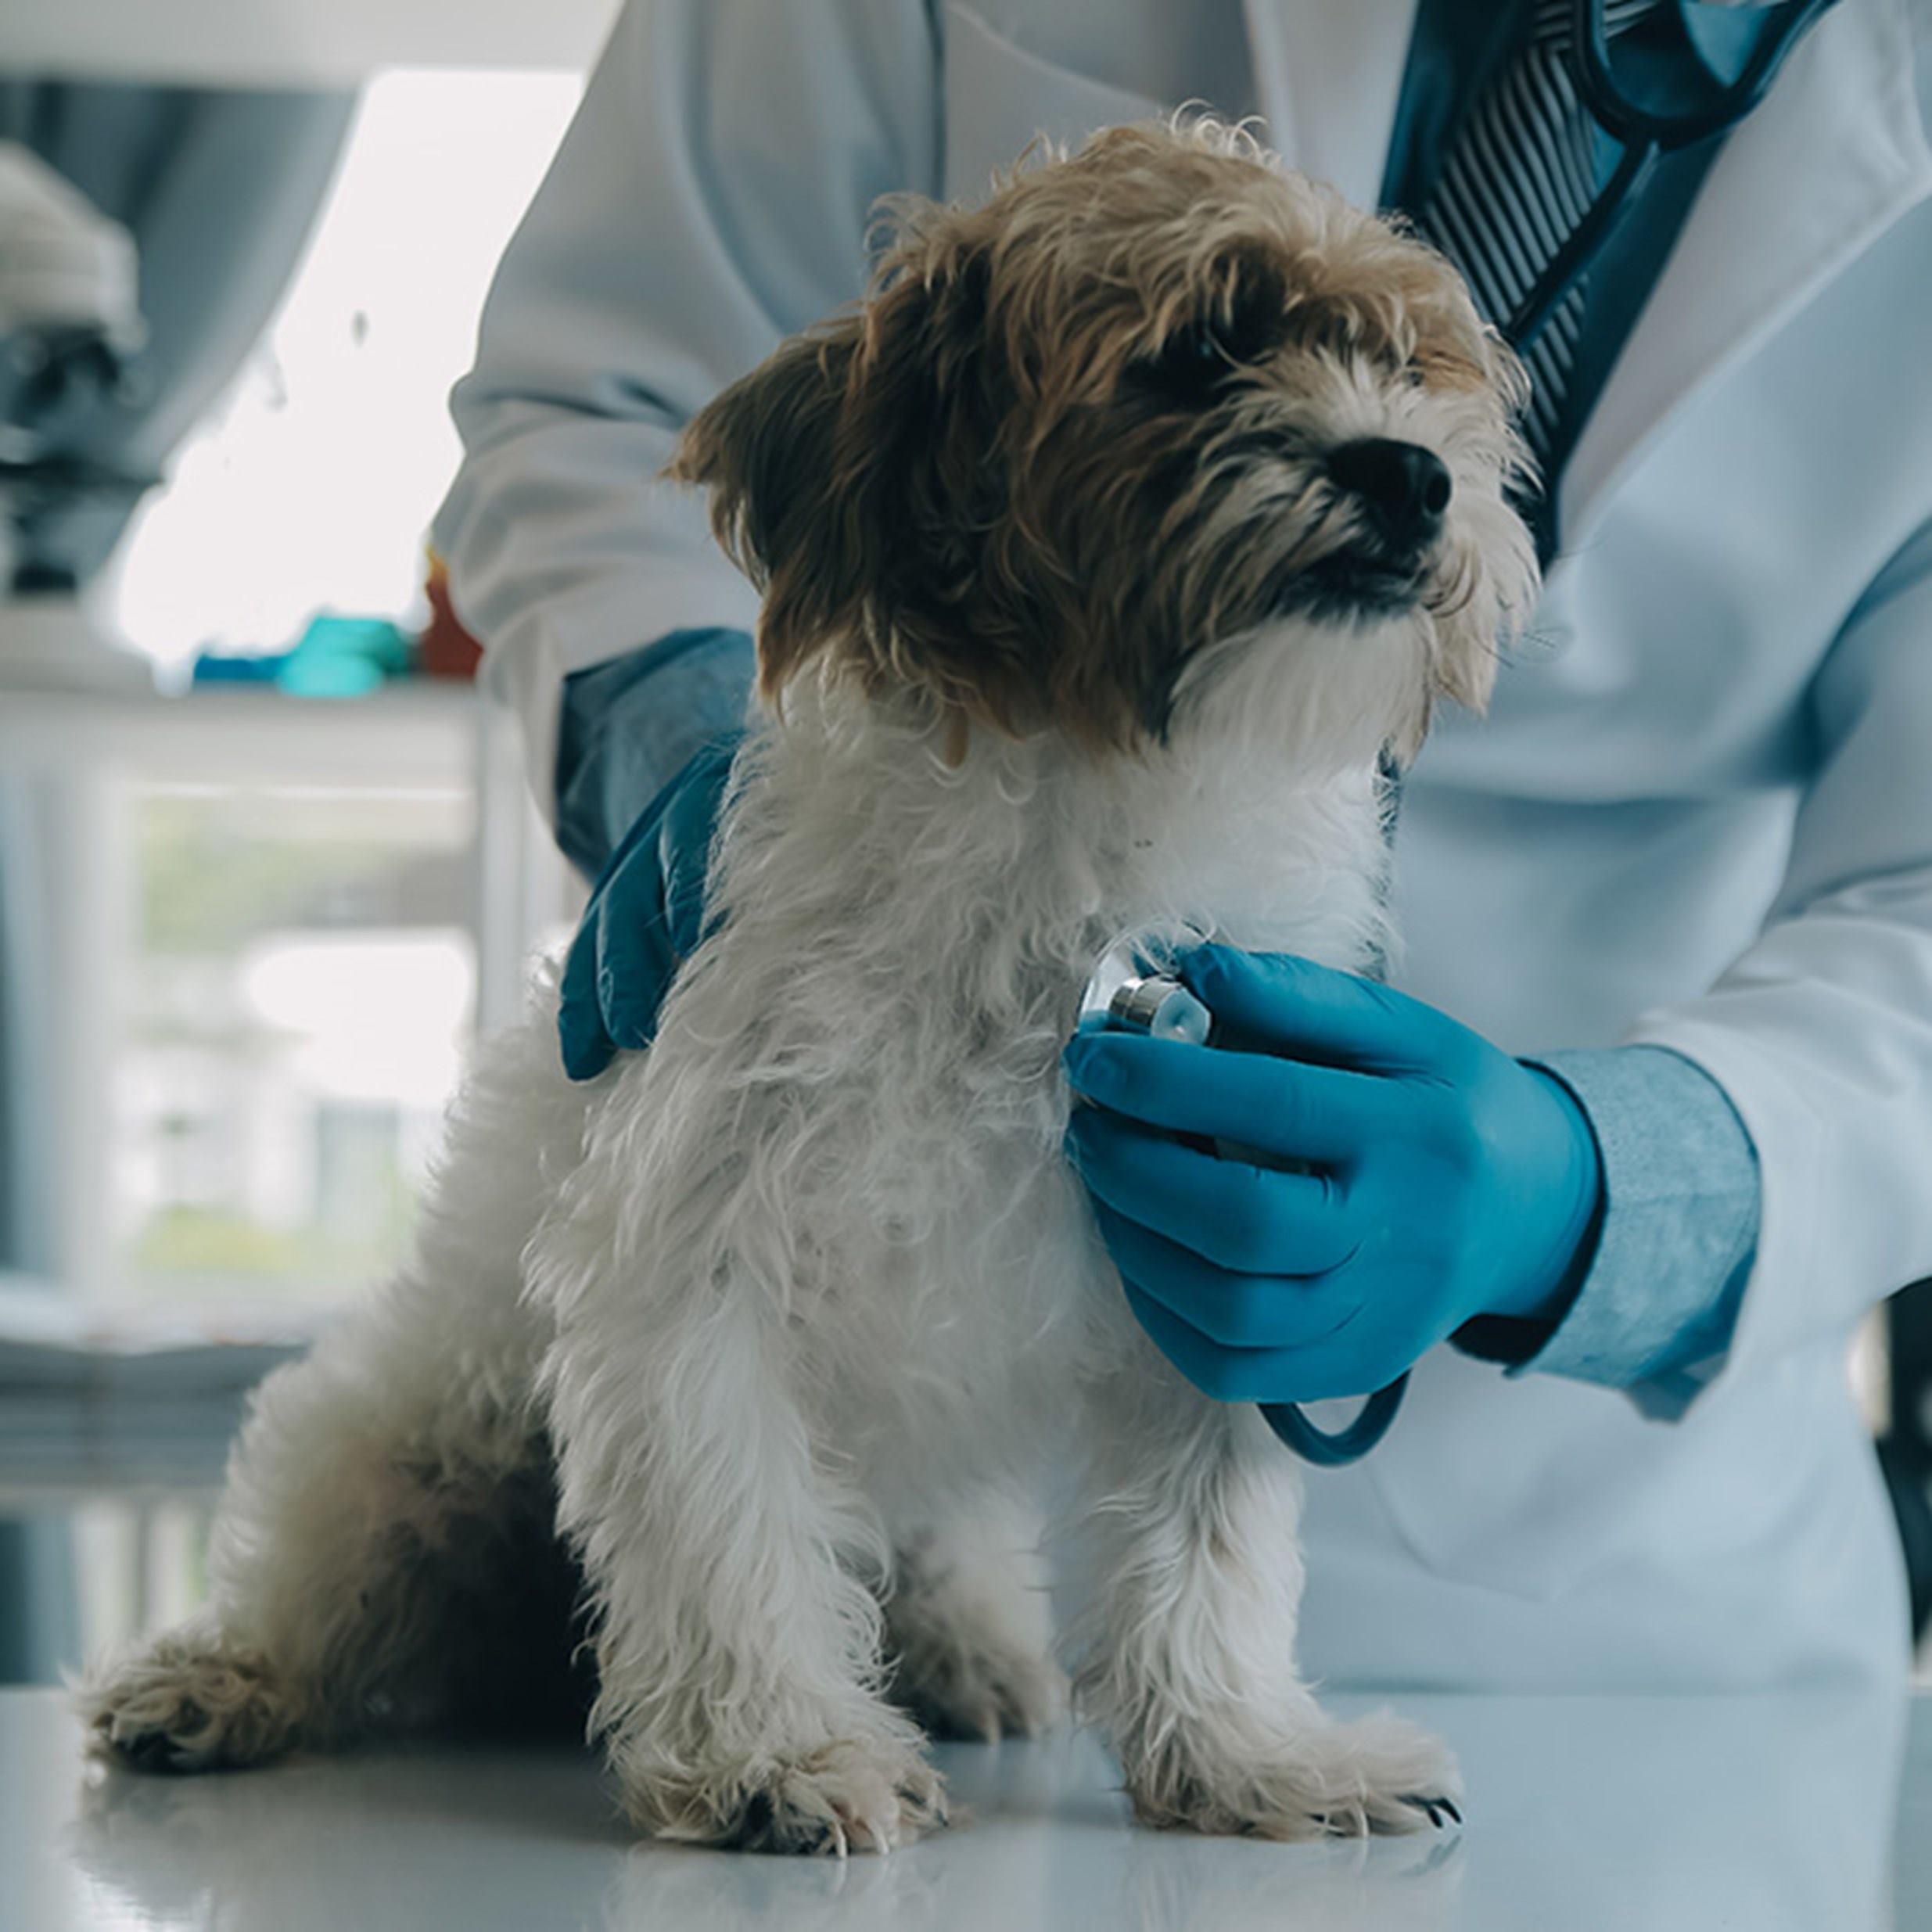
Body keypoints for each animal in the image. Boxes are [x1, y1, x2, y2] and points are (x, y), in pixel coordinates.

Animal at [83, 120, 1538, 1855]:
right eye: (1196, 351)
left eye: (1405, 360)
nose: (1412, 471)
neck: (1087, 834)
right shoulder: (696, 1258)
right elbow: (728, 1522)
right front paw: (775, 1754)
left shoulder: (1221, 1256)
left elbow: (1209, 1556)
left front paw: (1251, 1756)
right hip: (403, 1438)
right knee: (323, 1564)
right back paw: (218, 1677)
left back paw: (966, 1647)